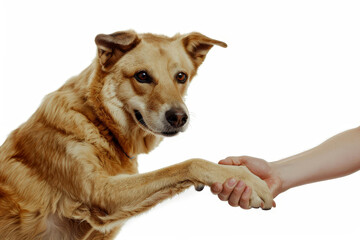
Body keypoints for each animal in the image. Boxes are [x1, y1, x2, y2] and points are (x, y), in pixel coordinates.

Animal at [0, 31, 272, 239]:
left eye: (181, 76)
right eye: (142, 76)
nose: (179, 117)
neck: (98, 123)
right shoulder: (101, 193)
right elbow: (190, 163)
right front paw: (247, 179)